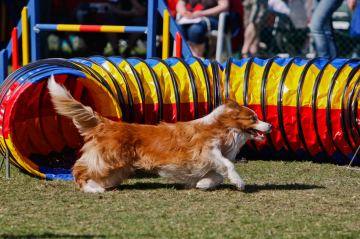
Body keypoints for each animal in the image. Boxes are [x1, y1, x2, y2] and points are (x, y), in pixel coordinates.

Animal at [48, 75, 272, 193]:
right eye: (253, 118)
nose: (270, 126)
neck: (222, 128)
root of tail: (106, 124)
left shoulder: (202, 163)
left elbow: (216, 175)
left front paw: (203, 184)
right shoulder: (205, 150)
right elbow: (228, 164)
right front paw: (239, 182)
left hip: (118, 167)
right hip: (108, 158)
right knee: (79, 169)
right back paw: (91, 188)